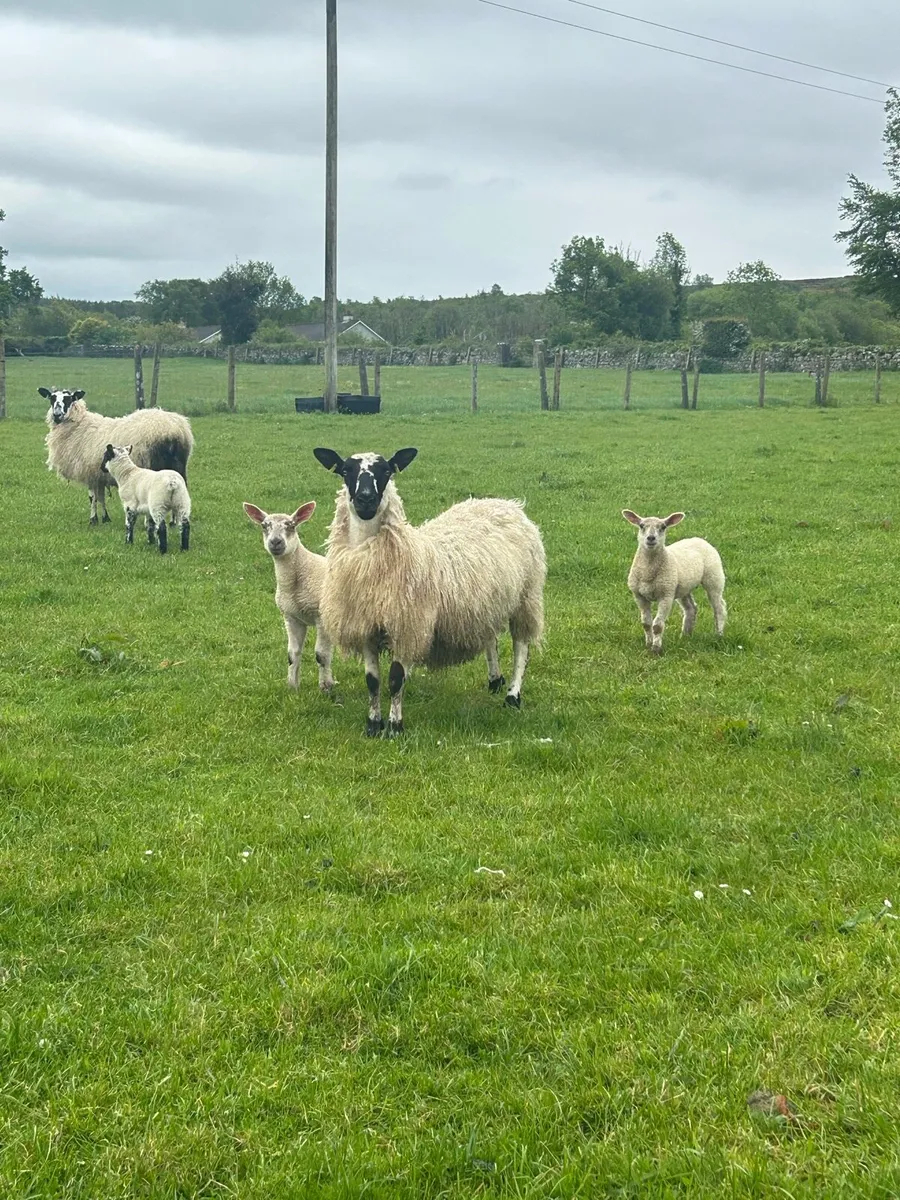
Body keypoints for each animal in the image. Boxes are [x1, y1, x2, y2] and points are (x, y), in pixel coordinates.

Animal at [42, 387, 193, 525]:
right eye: (52, 398)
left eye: (68, 399)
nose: (57, 415)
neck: (79, 425)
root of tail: (174, 429)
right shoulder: (98, 474)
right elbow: (101, 497)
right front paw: (105, 518)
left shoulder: (89, 472)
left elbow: (92, 497)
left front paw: (93, 520)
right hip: (178, 465)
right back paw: (174, 521)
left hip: (155, 465)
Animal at [243, 501, 335, 693]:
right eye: (264, 526)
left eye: (291, 525)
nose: (275, 542)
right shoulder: (291, 617)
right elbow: (292, 654)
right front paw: (292, 686)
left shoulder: (321, 616)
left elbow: (321, 655)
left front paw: (326, 687)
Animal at [313, 446, 546, 737]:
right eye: (346, 471)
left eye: (386, 471)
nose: (366, 500)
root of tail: (508, 504)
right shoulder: (365, 626)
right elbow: (372, 681)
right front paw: (373, 725)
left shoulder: (407, 626)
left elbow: (395, 679)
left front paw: (395, 727)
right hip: (485, 603)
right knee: (490, 638)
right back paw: (495, 681)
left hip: (526, 596)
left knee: (521, 646)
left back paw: (513, 695)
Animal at [622, 510, 726, 654]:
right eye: (641, 526)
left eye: (663, 527)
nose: (651, 538)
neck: (648, 571)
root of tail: (699, 539)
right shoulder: (639, 596)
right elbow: (646, 623)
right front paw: (648, 644)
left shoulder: (666, 595)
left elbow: (657, 626)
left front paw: (656, 649)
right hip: (683, 586)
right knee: (691, 608)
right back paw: (686, 635)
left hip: (714, 577)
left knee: (719, 608)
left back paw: (719, 635)